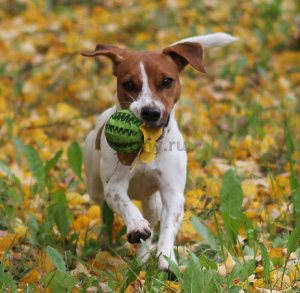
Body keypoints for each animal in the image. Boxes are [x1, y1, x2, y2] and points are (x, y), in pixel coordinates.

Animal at [81, 32, 237, 272]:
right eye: (128, 84)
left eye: (166, 81)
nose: (151, 112)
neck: (149, 146)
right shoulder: (114, 186)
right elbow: (126, 205)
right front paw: (136, 225)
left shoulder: (173, 193)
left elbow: (168, 228)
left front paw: (166, 257)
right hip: (94, 185)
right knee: (104, 207)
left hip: (152, 203)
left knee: (151, 223)